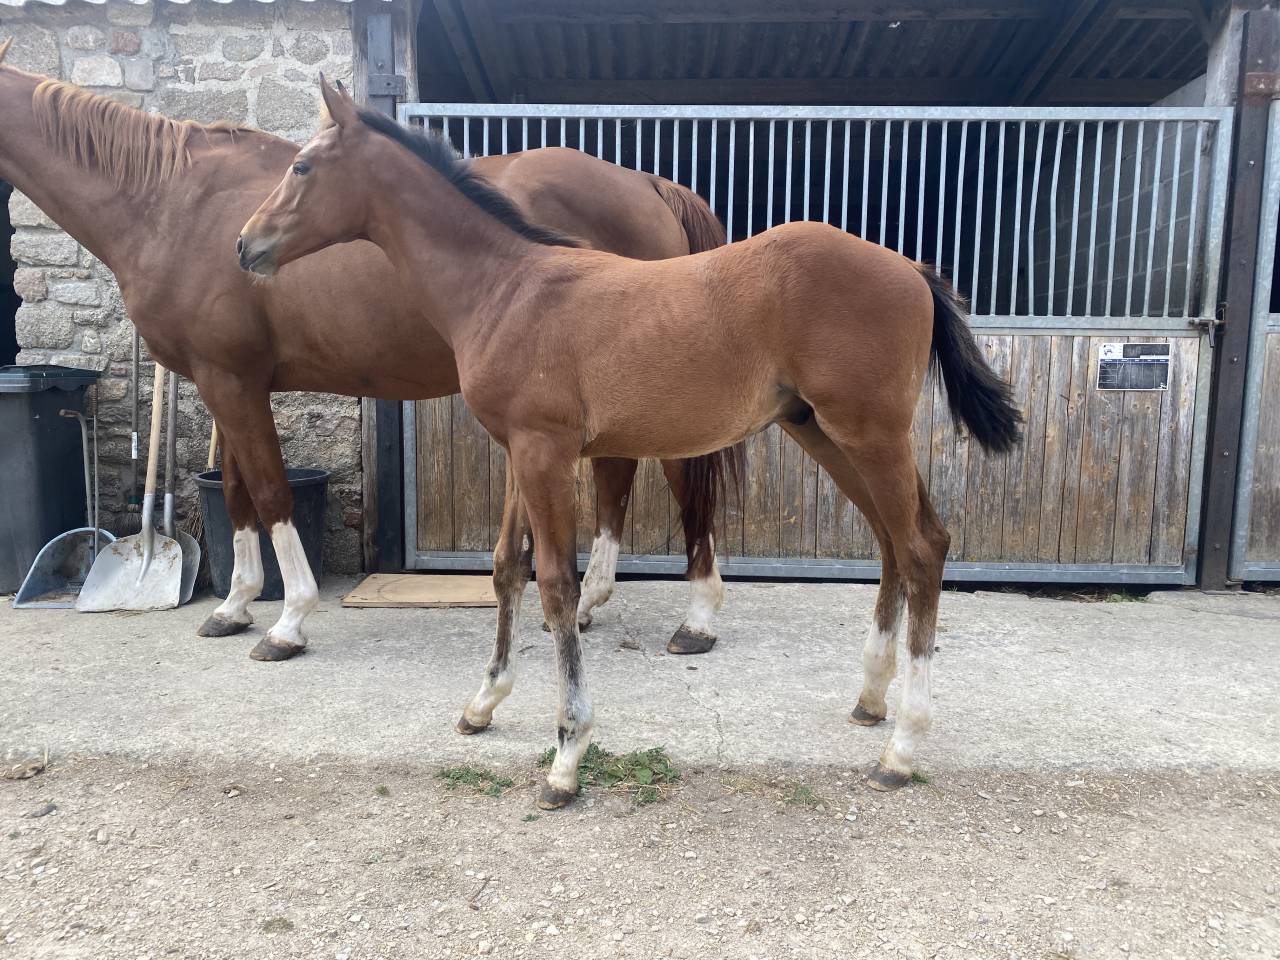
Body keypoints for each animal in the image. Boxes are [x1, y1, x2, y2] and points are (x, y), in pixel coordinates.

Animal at [0, 39, 738, 660]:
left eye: (302, 167)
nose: (245, 247)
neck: (168, 203)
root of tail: (649, 185)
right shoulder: (227, 382)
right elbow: (233, 491)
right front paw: (234, 606)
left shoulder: (230, 379)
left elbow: (269, 491)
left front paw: (287, 621)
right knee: (617, 476)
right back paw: (589, 604)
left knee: (675, 478)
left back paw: (697, 621)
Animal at [239, 79, 1022, 806]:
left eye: (303, 165)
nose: (245, 245)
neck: (507, 288)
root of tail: (911, 269)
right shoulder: (520, 452)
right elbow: (506, 568)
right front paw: (483, 703)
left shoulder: (545, 452)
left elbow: (557, 586)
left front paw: (567, 753)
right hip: (824, 432)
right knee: (894, 542)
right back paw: (870, 699)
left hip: (869, 432)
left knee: (921, 547)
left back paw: (902, 746)